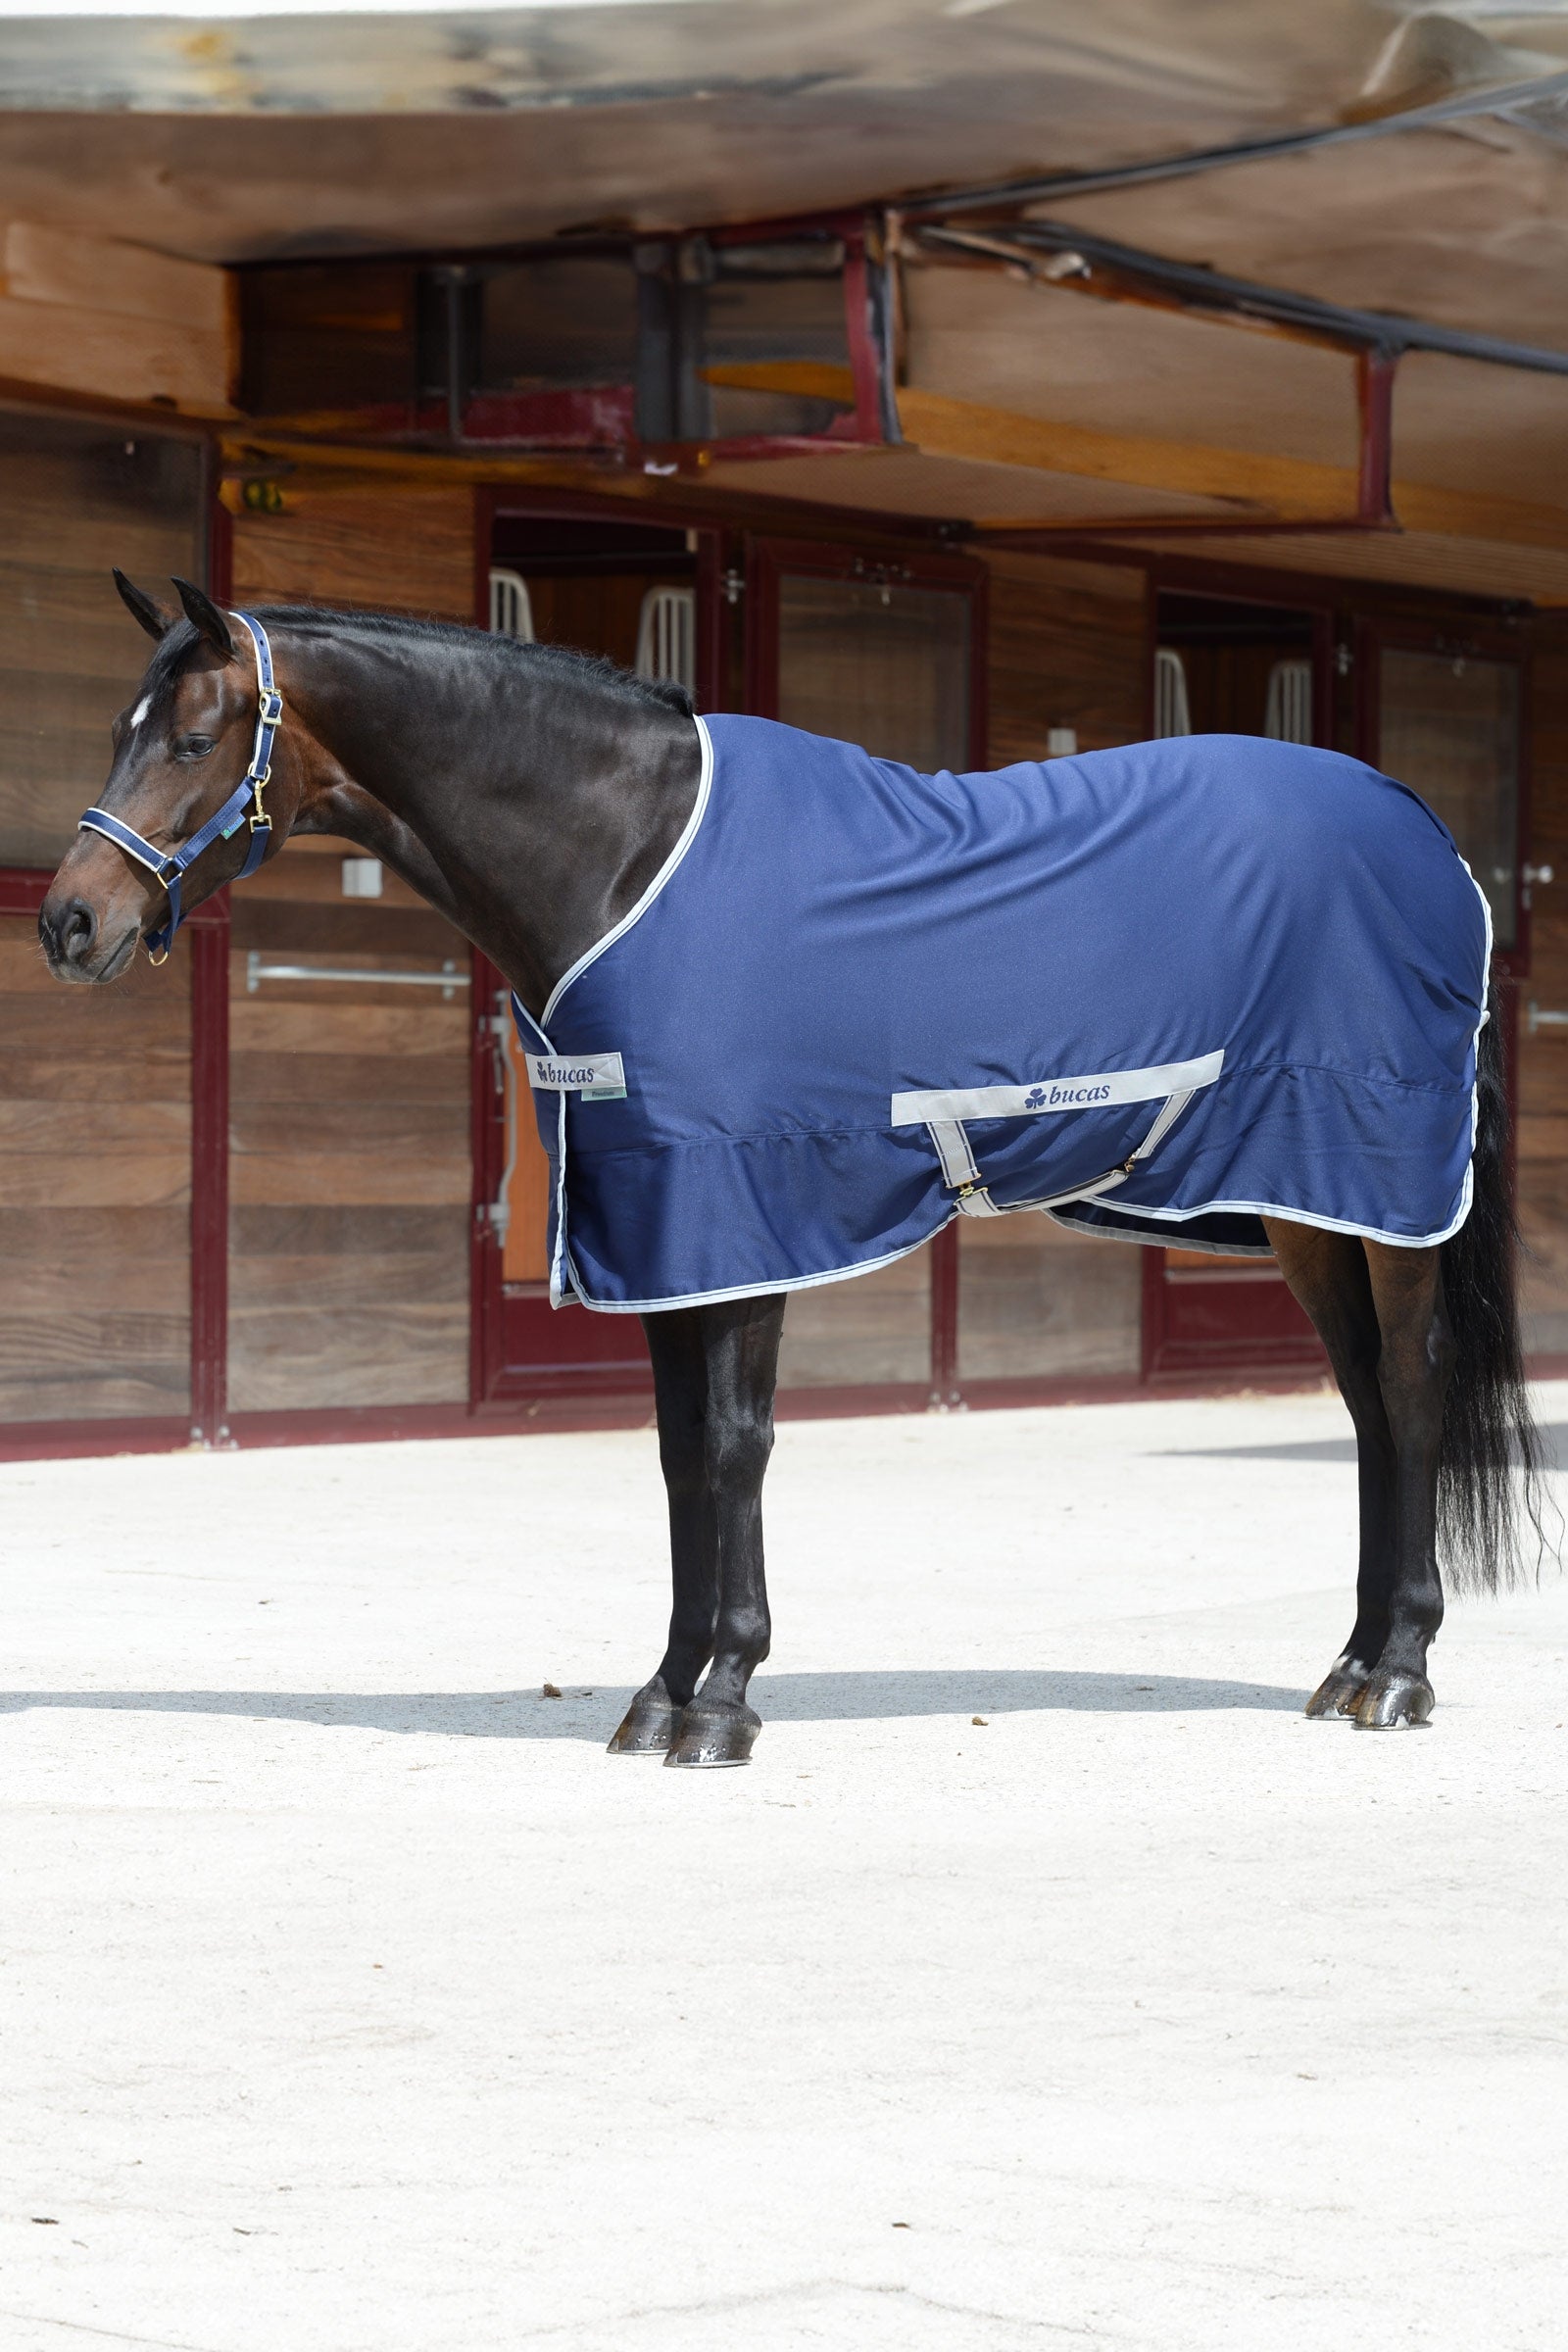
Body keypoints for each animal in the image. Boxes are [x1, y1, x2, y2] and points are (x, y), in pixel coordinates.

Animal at [37, 573, 1546, 1765]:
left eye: (193, 736)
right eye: (114, 732)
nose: (69, 923)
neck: (626, 853)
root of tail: (1426, 832)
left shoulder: (738, 1210)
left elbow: (733, 1445)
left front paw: (719, 1702)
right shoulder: (659, 1223)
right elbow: (676, 1456)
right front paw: (662, 1693)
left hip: (1380, 1193)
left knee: (1411, 1395)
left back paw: (1398, 1674)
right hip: (1304, 1213)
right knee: (1365, 1407)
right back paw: (1349, 1664)